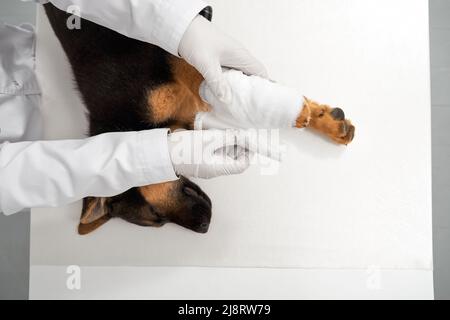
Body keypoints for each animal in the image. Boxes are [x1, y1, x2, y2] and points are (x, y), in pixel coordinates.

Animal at [44, 3, 356, 235]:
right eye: (158, 222)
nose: (205, 227)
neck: (128, 127)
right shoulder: (191, 109)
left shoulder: (179, 66)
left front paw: (316, 117)